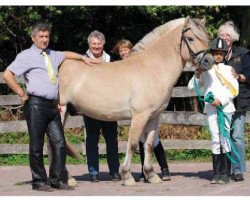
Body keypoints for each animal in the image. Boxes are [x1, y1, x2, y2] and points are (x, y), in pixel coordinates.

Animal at [58, 16, 213, 186]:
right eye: (191, 38)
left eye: (207, 38)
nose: (209, 61)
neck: (151, 68)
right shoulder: (139, 116)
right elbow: (132, 144)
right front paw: (127, 176)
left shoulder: (153, 117)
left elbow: (149, 144)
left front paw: (151, 175)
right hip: (60, 110)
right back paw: (66, 179)